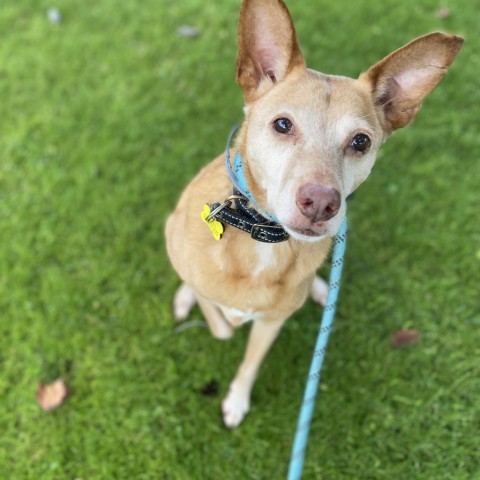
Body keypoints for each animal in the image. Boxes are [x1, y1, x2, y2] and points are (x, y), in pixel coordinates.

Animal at [164, 0, 462, 428]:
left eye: (361, 142)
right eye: (282, 124)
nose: (321, 203)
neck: (261, 238)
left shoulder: (272, 323)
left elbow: (250, 362)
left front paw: (237, 398)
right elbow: (220, 322)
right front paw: (214, 308)